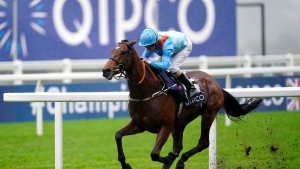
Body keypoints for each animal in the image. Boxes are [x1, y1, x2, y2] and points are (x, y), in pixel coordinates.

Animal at [102, 39, 264, 168]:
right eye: (111, 51)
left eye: (123, 52)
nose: (106, 70)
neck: (146, 92)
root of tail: (215, 84)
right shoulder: (139, 124)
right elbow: (118, 135)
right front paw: (125, 164)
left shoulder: (166, 126)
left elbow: (154, 154)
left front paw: (168, 158)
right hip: (179, 124)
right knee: (178, 146)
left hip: (208, 113)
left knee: (203, 143)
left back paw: (180, 161)